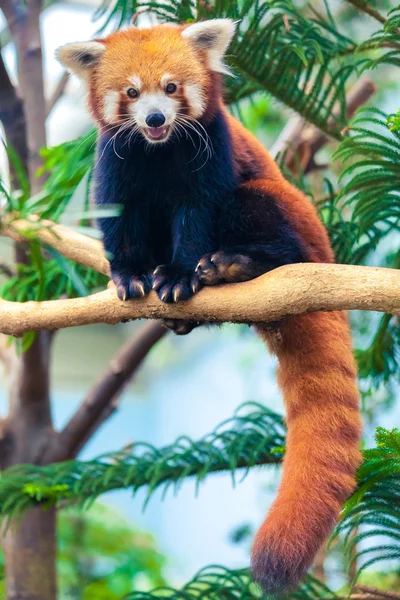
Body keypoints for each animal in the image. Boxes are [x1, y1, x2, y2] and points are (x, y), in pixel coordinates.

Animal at [57, 18, 362, 596]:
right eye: (132, 93)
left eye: (172, 87)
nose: (155, 118)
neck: (158, 150)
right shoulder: (116, 162)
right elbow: (120, 220)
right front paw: (130, 276)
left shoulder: (211, 151)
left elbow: (197, 212)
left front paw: (179, 276)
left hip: (282, 209)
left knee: (256, 210)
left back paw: (235, 266)